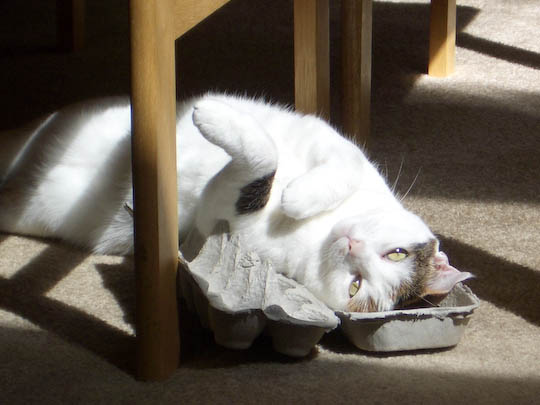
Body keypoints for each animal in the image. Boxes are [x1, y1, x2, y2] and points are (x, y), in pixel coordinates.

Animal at [0, 94, 472, 310]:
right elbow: (325, 165)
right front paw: (296, 197)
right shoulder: (331, 142)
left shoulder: (220, 214)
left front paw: (286, 196)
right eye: (398, 253)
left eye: (356, 286)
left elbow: (261, 171)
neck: (319, 233)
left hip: (29, 210)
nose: (352, 246)